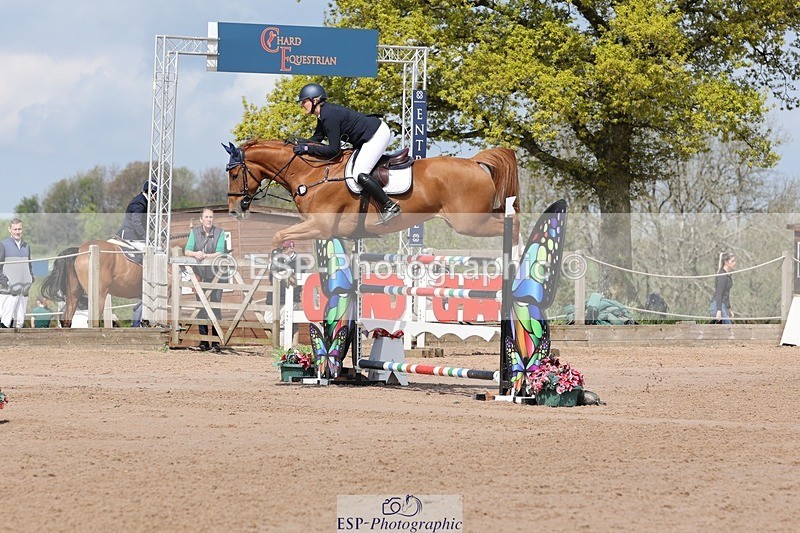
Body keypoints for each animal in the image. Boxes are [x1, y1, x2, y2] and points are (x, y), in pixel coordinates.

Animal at [224, 140, 520, 248]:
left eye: (234, 174)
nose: (234, 210)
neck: (310, 174)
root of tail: (474, 163)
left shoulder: (320, 227)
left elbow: (278, 236)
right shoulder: (326, 230)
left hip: (470, 223)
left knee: (511, 225)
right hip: (477, 217)